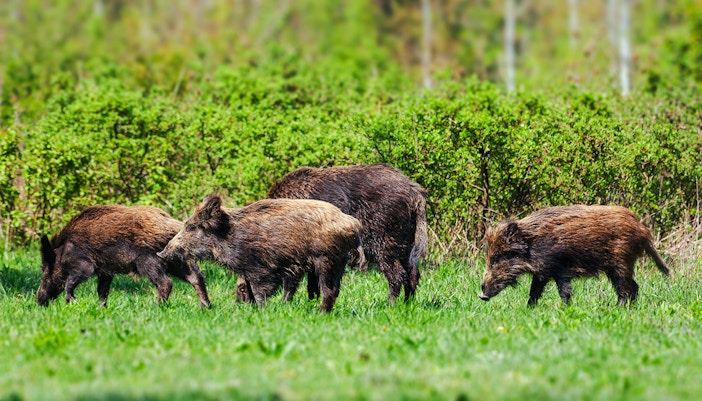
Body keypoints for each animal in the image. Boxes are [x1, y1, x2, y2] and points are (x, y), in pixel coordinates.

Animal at [37, 205, 211, 308]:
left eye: (45, 268)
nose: (39, 300)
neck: (63, 252)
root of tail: (173, 226)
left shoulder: (85, 265)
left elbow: (70, 283)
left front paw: (72, 302)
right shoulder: (105, 271)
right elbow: (102, 290)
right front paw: (101, 308)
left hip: (148, 261)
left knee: (166, 283)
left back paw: (158, 307)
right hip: (173, 260)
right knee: (195, 277)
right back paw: (206, 306)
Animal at [157, 195, 362, 312]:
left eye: (191, 226)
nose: (161, 253)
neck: (228, 236)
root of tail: (352, 223)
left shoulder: (260, 269)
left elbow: (258, 291)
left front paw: (262, 312)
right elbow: (249, 288)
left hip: (326, 260)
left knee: (328, 289)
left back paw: (321, 313)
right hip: (337, 262)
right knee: (334, 290)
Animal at [257, 163, 428, 304]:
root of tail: (415, 193)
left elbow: (294, 281)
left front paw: (285, 304)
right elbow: (312, 283)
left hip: (384, 240)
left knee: (397, 274)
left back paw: (391, 304)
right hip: (406, 242)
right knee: (413, 273)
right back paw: (407, 303)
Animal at [479, 205, 669, 306]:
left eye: (499, 257)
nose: (482, 295)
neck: (531, 244)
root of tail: (642, 229)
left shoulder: (560, 269)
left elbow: (563, 291)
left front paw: (565, 308)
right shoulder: (543, 273)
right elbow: (534, 292)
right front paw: (529, 309)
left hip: (621, 262)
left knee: (625, 288)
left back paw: (618, 308)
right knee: (634, 286)